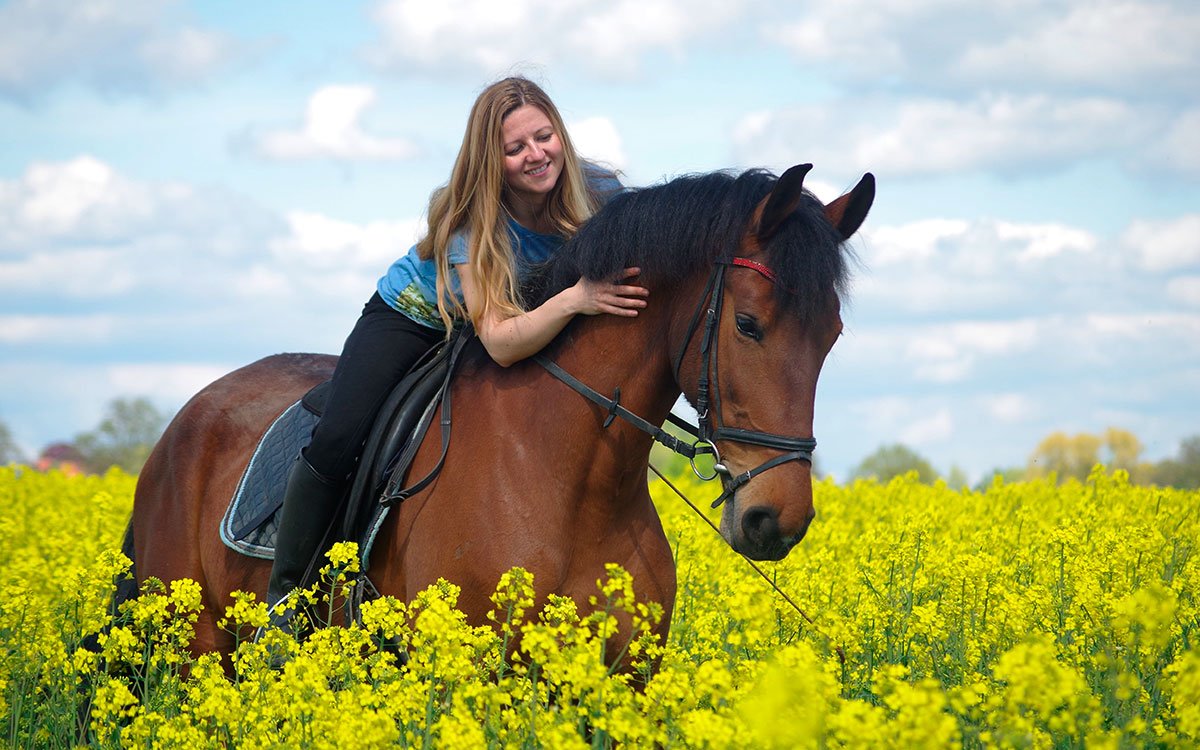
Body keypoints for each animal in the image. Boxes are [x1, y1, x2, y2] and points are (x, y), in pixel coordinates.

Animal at [131, 163, 874, 660]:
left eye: (833, 334)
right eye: (748, 325)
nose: (777, 521)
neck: (570, 478)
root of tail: (184, 421)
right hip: (194, 648)